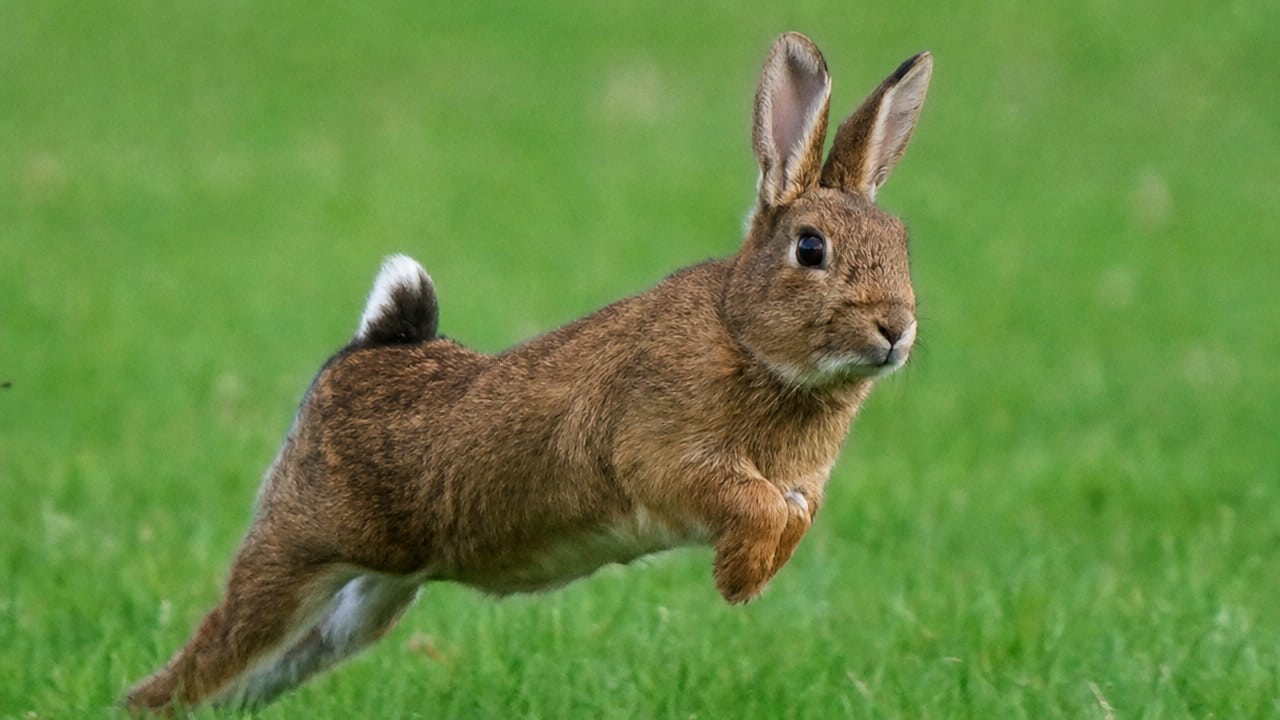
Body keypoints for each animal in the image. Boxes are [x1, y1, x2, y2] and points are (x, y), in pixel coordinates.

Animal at [123, 31, 933, 714]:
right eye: (810, 248)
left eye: (901, 242)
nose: (896, 329)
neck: (743, 335)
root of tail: (370, 348)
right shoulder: (663, 455)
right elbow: (754, 504)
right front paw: (738, 580)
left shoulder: (798, 486)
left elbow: (791, 514)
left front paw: (748, 578)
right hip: (296, 546)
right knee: (215, 652)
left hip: (373, 595)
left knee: (277, 665)